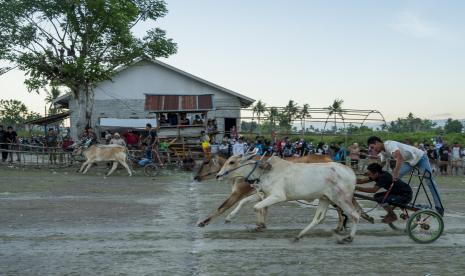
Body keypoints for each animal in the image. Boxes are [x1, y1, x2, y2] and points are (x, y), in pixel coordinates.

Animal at [216, 155, 360, 244]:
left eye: (232, 162)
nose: (218, 175)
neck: (265, 172)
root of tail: (350, 170)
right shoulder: (264, 194)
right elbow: (246, 202)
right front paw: (232, 218)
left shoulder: (277, 196)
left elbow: (256, 207)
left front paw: (258, 225)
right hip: (324, 198)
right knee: (318, 218)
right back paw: (298, 236)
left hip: (341, 199)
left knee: (355, 215)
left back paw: (349, 238)